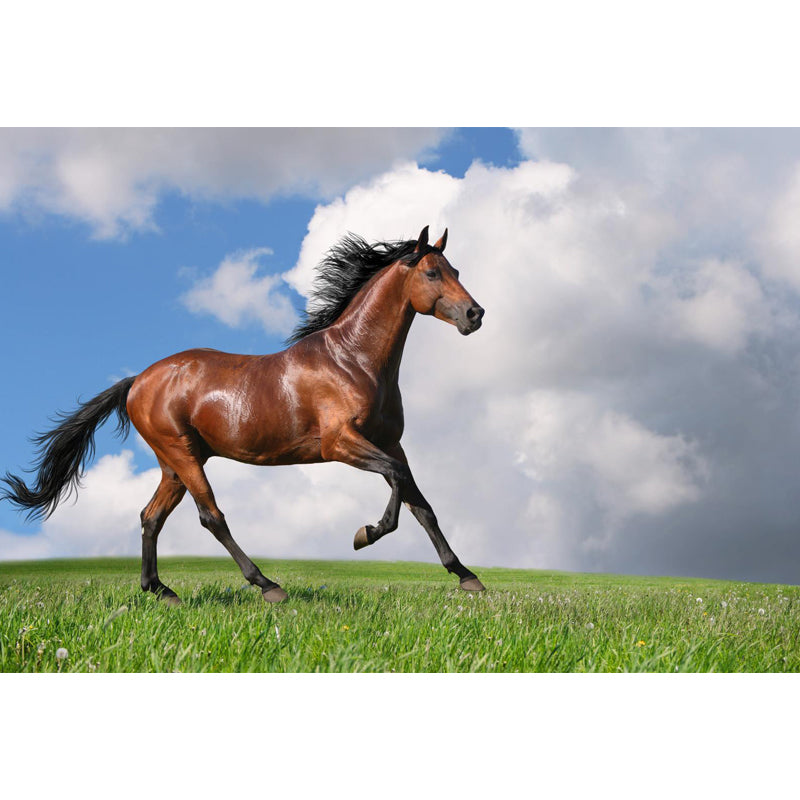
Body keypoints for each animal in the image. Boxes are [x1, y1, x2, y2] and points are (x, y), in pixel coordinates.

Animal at [1, 226, 486, 604]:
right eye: (432, 272)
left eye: (457, 272)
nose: (475, 314)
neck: (353, 360)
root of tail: (138, 380)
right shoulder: (341, 443)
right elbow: (398, 485)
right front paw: (365, 533)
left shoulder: (391, 442)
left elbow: (421, 504)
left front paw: (467, 576)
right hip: (182, 455)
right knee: (210, 515)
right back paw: (268, 585)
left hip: (174, 463)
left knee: (151, 516)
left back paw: (161, 590)